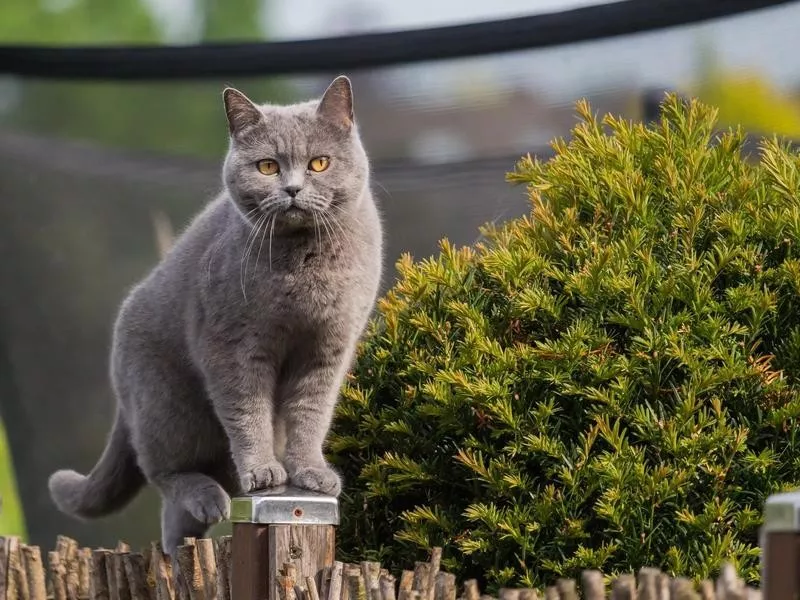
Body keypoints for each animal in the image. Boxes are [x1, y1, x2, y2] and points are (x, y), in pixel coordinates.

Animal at [47, 76, 384, 556]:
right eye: (267, 167)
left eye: (319, 163)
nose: (293, 189)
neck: (303, 267)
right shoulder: (232, 346)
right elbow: (247, 410)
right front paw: (263, 471)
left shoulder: (327, 348)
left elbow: (310, 413)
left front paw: (311, 474)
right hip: (168, 404)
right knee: (163, 471)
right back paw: (208, 500)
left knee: (174, 516)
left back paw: (181, 543)